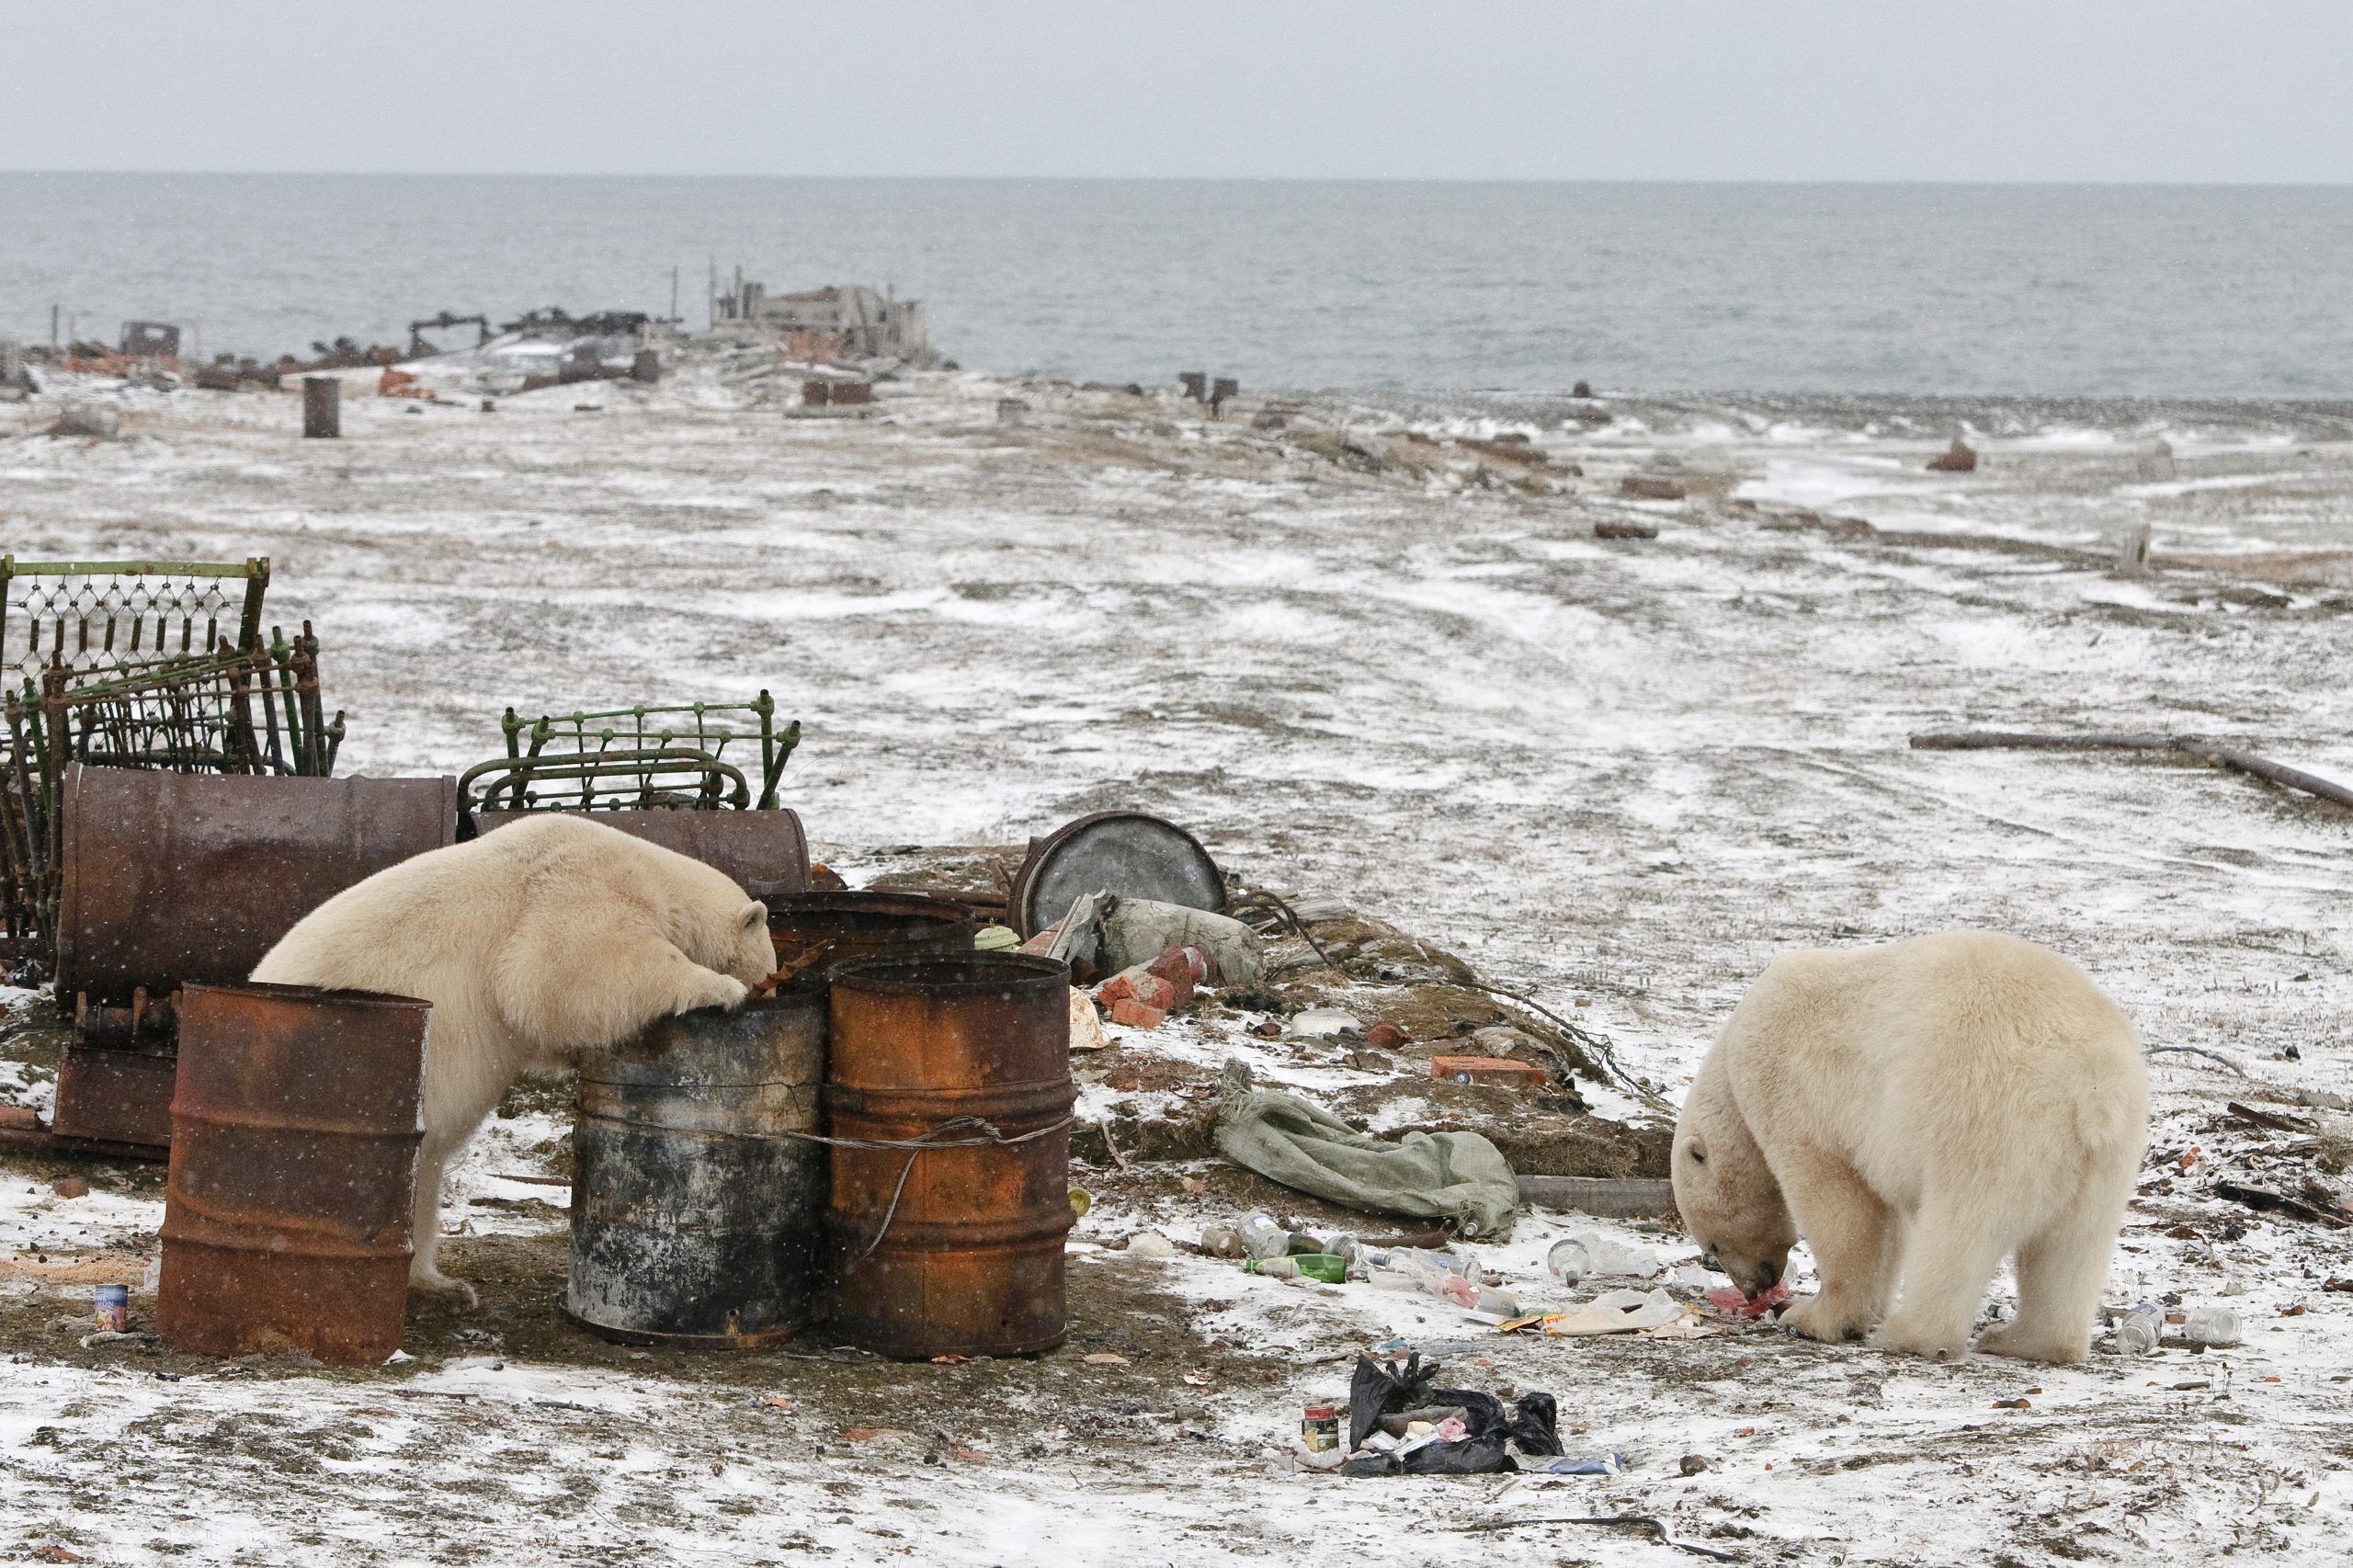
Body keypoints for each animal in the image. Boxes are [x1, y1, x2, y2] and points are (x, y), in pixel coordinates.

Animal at [253, 810, 776, 1299]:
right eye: (767, 972)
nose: (769, 991)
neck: (653, 871)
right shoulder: (580, 887)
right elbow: (570, 971)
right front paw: (720, 988)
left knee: (423, 1176)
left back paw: (440, 1284)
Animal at [1675, 927, 2154, 1356]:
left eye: (1712, 1249)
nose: (1759, 1287)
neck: (1732, 1067)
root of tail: (2093, 1089)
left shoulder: (1793, 1095)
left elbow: (1839, 1207)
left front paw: (1813, 1318)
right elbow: (1888, 1225)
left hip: (1989, 1117)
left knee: (1959, 1227)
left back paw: (1911, 1334)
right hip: (2105, 1157)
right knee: (2071, 1247)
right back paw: (2027, 1341)